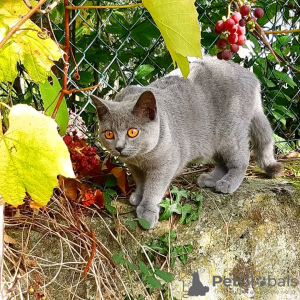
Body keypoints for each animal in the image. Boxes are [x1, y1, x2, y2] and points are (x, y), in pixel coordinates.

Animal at [91, 56, 282, 229]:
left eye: (132, 132)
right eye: (109, 134)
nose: (119, 147)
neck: (141, 158)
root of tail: (251, 76)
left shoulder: (165, 166)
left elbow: (154, 188)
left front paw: (147, 209)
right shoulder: (134, 167)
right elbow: (140, 182)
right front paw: (138, 196)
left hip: (230, 135)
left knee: (241, 159)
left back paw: (228, 183)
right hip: (212, 141)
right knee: (222, 162)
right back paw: (210, 179)